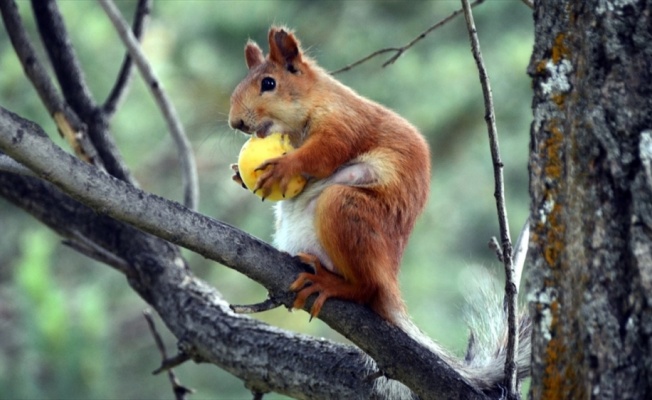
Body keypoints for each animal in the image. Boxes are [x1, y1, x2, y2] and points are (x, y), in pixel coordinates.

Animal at [228, 26, 528, 396]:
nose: (236, 122)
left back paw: (333, 285)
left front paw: (286, 166)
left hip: (344, 208)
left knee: (366, 289)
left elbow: (324, 154)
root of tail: (389, 279)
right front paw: (236, 174)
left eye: (268, 83)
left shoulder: (345, 123)